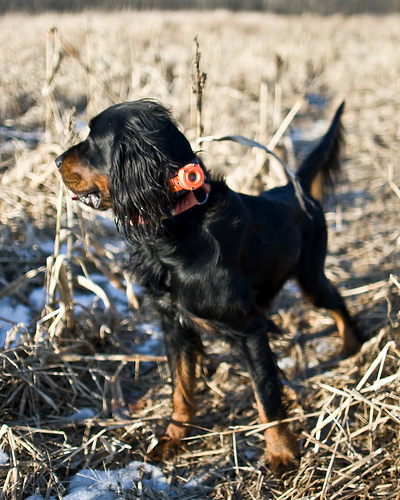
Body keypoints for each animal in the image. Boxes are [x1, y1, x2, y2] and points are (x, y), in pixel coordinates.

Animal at [55, 100, 362, 468]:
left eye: (92, 142)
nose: (56, 161)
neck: (180, 226)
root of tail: (294, 187)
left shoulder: (248, 329)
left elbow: (267, 397)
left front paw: (281, 451)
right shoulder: (174, 326)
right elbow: (181, 390)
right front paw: (172, 438)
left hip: (310, 278)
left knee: (336, 301)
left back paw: (353, 345)